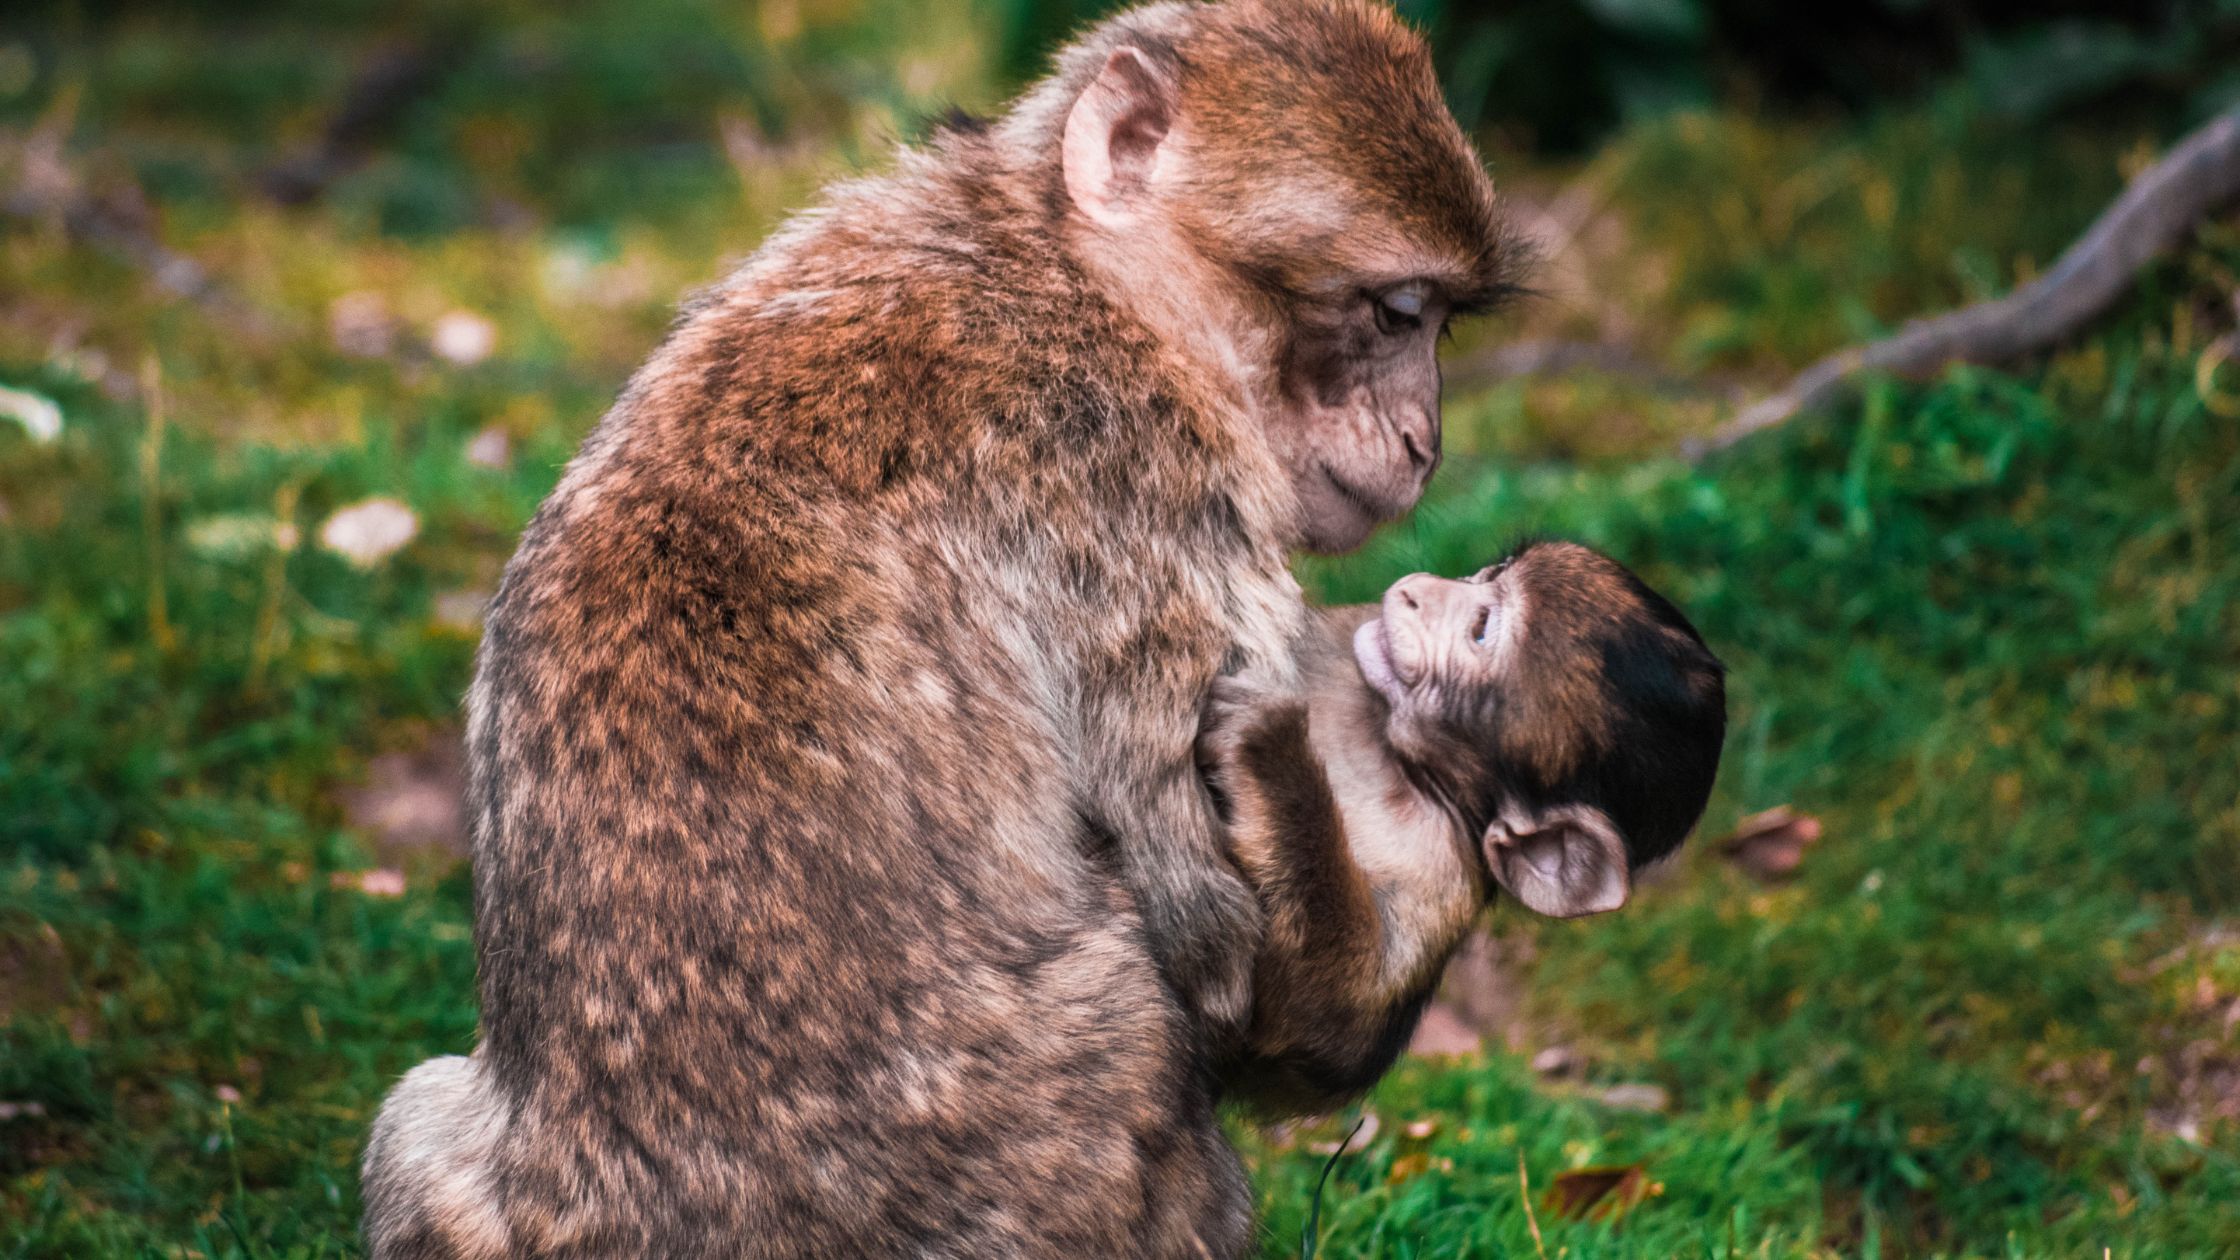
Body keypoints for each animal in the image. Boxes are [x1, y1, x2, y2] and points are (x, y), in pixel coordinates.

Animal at [367, 4, 1514, 1246]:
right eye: (1395, 313)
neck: (1063, 267)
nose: (1424, 443)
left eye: (1440, 326)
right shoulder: (1146, 499)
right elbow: (1237, 976)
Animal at [1209, 540, 1711, 1107]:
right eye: (1491, 573)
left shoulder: (1441, 863)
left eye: (1482, 631)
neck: (1396, 756)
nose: (1417, 590)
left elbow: (1324, 1035)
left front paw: (1269, 750)